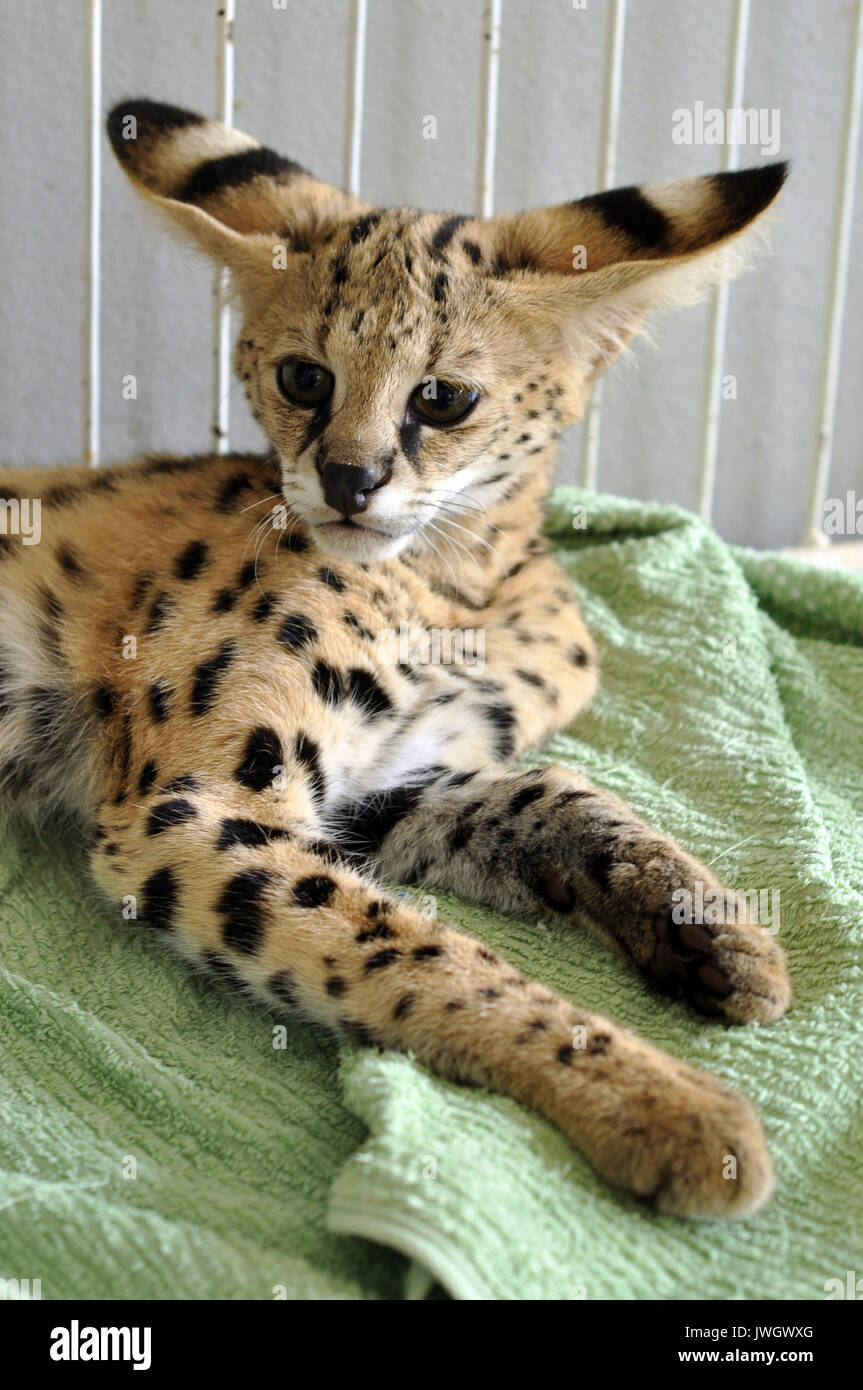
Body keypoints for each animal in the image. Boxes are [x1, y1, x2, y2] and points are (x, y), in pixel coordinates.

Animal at [0, 102, 789, 1217]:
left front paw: (711, 928)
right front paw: (662, 1103)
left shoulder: (390, 788)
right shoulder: (192, 811)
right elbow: (422, 953)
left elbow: (557, 792)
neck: (460, 591)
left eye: (444, 398)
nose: (348, 480)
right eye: (303, 379)